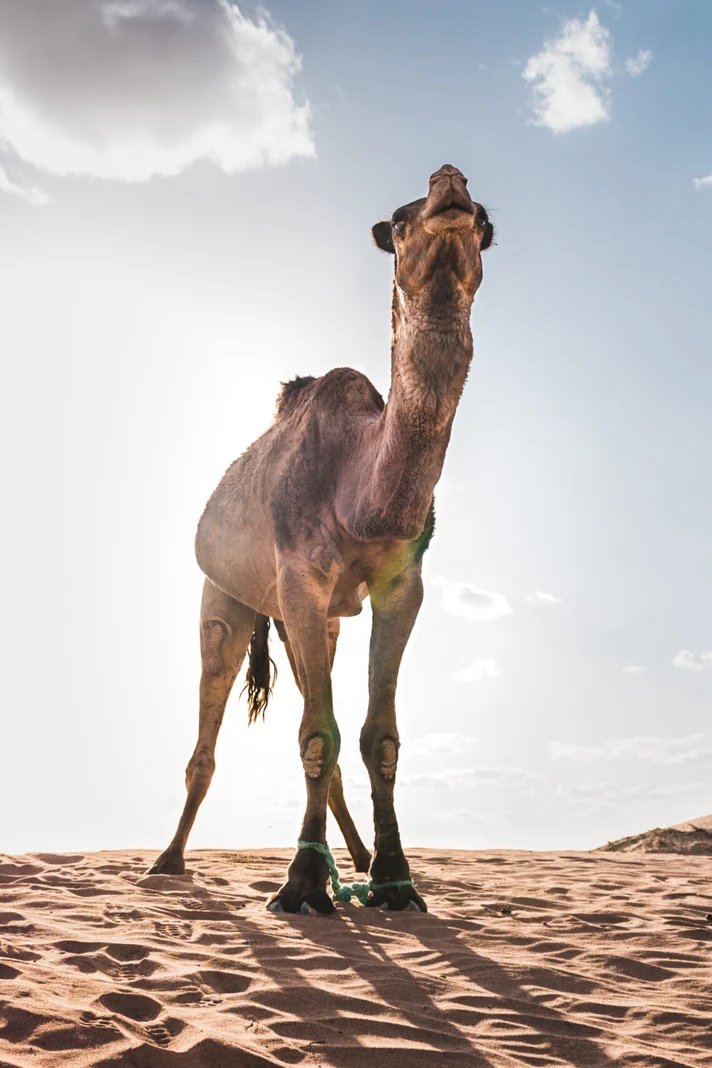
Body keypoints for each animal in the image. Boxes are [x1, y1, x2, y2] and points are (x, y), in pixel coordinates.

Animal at [149, 164, 493, 914]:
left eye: (485, 223)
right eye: (399, 220)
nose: (449, 183)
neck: (358, 492)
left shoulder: (401, 585)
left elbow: (377, 737)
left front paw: (395, 879)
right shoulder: (299, 577)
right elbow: (316, 735)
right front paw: (303, 885)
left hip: (311, 618)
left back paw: (356, 860)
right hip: (227, 595)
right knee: (211, 724)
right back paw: (167, 859)